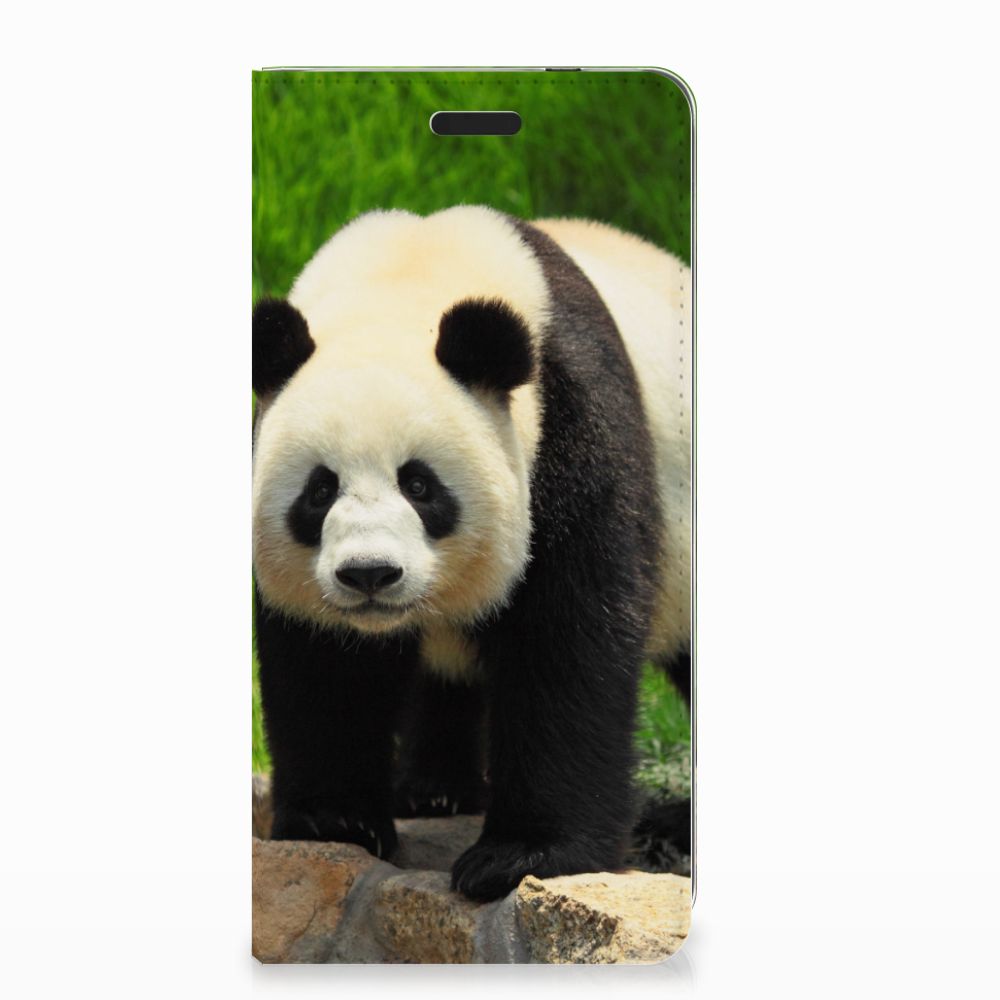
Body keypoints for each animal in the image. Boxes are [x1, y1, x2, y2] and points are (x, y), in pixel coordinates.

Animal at [252, 205, 691, 902]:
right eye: (320, 490)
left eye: (420, 485)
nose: (370, 574)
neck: (406, 276)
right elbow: (324, 663)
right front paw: (335, 821)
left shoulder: (571, 424)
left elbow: (567, 637)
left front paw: (522, 856)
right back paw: (434, 790)